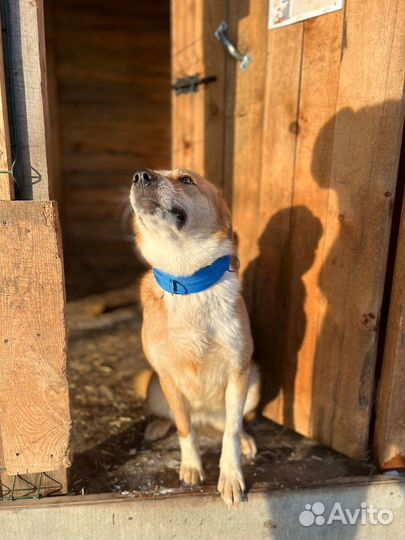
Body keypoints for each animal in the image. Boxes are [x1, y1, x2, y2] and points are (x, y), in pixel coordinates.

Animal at [131, 168, 260, 506]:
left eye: (186, 180)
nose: (141, 176)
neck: (189, 283)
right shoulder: (168, 376)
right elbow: (185, 429)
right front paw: (191, 467)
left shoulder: (239, 371)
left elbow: (232, 431)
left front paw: (231, 475)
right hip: (156, 387)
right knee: (179, 419)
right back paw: (157, 425)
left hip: (254, 381)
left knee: (228, 424)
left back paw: (246, 441)